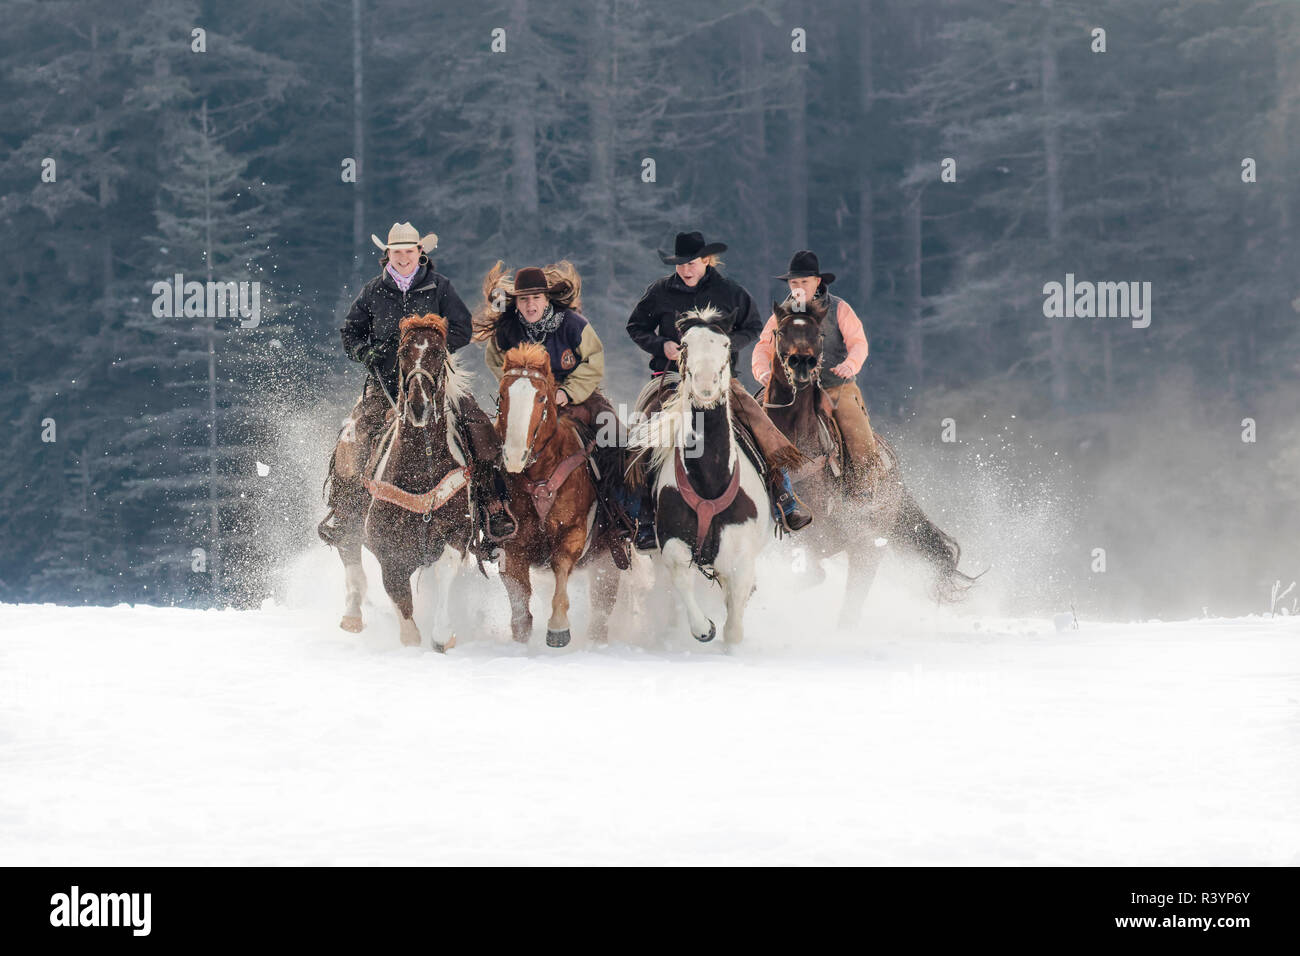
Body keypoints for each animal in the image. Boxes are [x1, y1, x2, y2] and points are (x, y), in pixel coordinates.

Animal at [335, 314, 478, 650]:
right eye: (402, 352)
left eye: (438, 352)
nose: (418, 405)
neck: (421, 469)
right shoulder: (389, 551)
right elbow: (402, 604)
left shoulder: (457, 531)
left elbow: (445, 570)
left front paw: (442, 636)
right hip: (346, 511)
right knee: (350, 556)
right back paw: (352, 616)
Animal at [493, 343, 621, 650]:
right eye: (502, 395)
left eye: (541, 397)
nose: (513, 456)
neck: (540, 475)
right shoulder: (512, 547)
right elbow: (520, 609)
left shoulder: (572, 534)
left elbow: (561, 573)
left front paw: (558, 628)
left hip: (609, 559)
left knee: (602, 607)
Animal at [629, 306, 769, 647]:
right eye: (684, 345)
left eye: (725, 344)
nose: (706, 383)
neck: (709, 481)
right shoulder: (672, 545)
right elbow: (682, 586)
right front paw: (704, 628)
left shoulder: (741, 555)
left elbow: (734, 624)